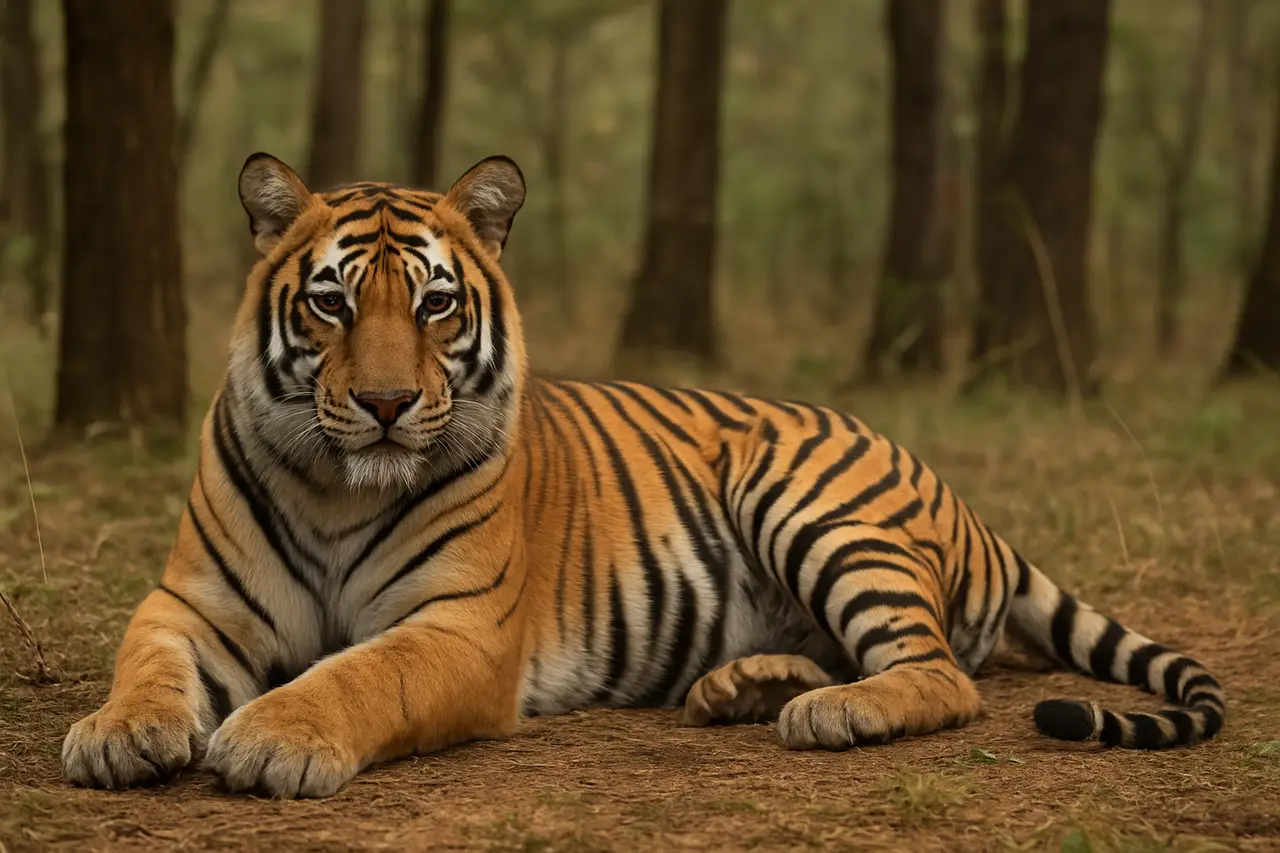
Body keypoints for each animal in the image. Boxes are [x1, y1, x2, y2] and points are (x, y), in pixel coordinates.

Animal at [61, 153, 1225, 798]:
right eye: (331, 303)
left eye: (435, 305)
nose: (388, 404)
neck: (335, 486)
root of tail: (964, 502)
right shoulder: (192, 602)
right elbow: (145, 660)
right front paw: (119, 734)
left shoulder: (459, 627)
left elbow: (358, 673)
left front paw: (273, 737)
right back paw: (746, 686)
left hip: (809, 498)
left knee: (940, 673)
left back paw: (825, 713)